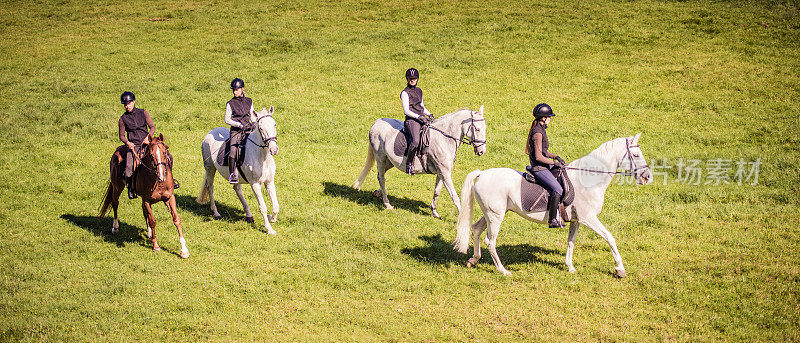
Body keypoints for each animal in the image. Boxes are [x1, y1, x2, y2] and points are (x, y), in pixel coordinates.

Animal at [196, 107, 278, 235]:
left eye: (274, 124)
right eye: (260, 128)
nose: (274, 149)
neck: (262, 156)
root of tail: (211, 132)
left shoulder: (269, 182)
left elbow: (275, 206)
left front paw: (271, 218)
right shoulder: (255, 184)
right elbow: (263, 207)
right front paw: (269, 229)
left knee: (237, 189)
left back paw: (248, 214)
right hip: (210, 168)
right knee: (210, 187)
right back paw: (216, 213)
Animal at [354, 106, 488, 218]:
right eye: (477, 129)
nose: (482, 151)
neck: (444, 138)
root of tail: (376, 122)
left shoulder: (441, 172)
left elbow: (437, 192)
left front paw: (434, 212)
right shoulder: (445, 172)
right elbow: (454, 196)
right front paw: (461, 217)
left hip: (390, 161)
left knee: (379, 175)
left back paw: (378, 193)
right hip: (380, 157)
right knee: (382, 178)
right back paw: (387, 204)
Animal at [456, 133, 648, 278]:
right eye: (636, 155)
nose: (647, 176)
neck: (588, 179)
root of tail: (481, 173)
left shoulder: (576, 221)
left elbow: (571, 242)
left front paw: (570, 267)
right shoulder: (589, 218)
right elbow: (610, 237)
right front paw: (620, 269)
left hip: (491, 214)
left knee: (476, 229)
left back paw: (474, 260)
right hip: (495, 217)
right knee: (490, 241)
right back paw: (503, 270)